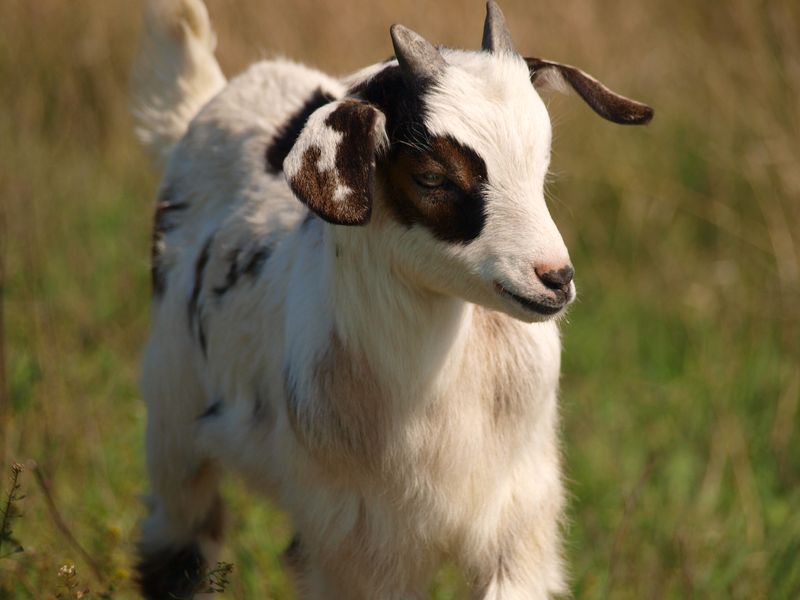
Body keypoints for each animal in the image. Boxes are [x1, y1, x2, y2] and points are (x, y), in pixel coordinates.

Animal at [131, 1, 652, 598]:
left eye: (541, 165)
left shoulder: (517, 519)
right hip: (172, 414)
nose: (555, 277)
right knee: (177, 541)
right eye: (432, 178)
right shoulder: (354, 543)